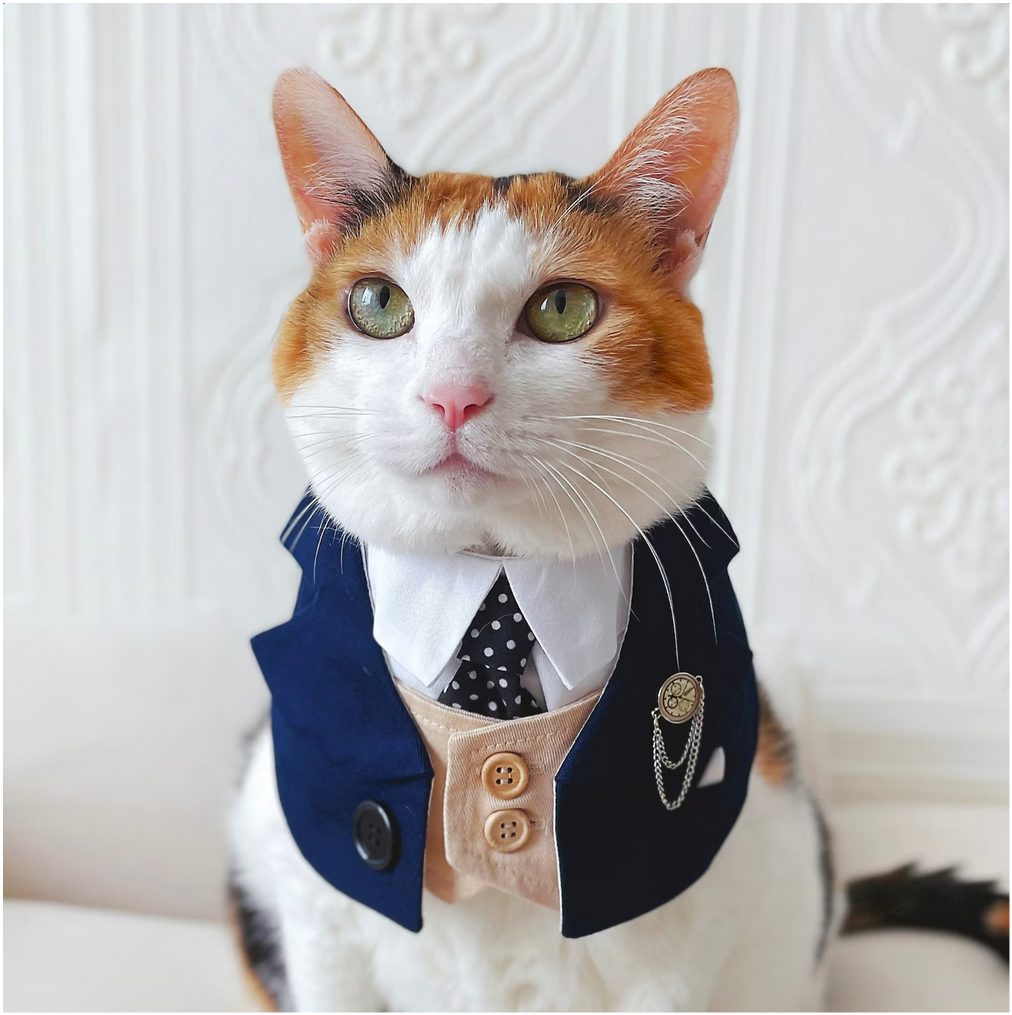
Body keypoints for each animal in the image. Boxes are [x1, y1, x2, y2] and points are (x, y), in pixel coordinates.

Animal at [231, 67, 1010, 1010]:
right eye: (379, 303)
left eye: (563, 307)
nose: (453, 395)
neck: (493, 582)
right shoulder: (316, 913)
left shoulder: (675, 939)